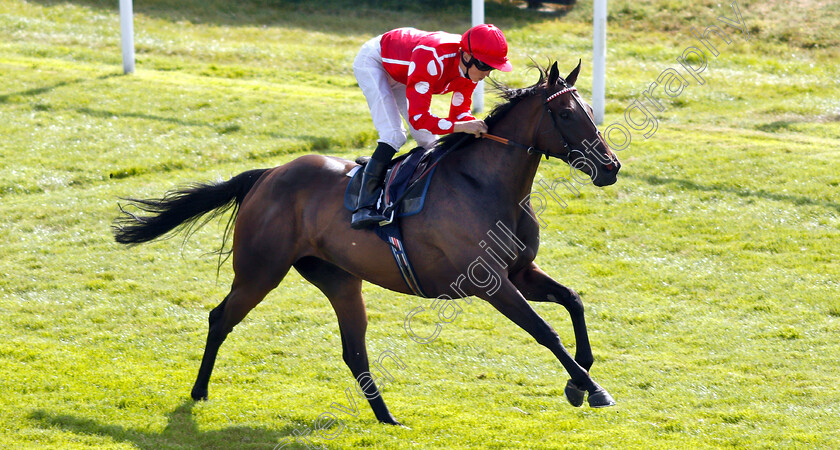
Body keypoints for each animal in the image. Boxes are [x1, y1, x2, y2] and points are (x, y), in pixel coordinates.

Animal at [113, 61, 616, 424]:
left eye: (591, 111)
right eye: (566, 114)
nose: (610, 167)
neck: (485, 184)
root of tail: (267, 175)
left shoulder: (521, 272)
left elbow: (573, 301)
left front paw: (580, 381)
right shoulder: (489, 282)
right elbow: (546, 331)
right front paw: (592, 388)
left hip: (339, 280)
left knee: (353, 351)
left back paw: (387, 417)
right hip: (260, 271)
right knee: (220, 318)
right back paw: (198, 392)